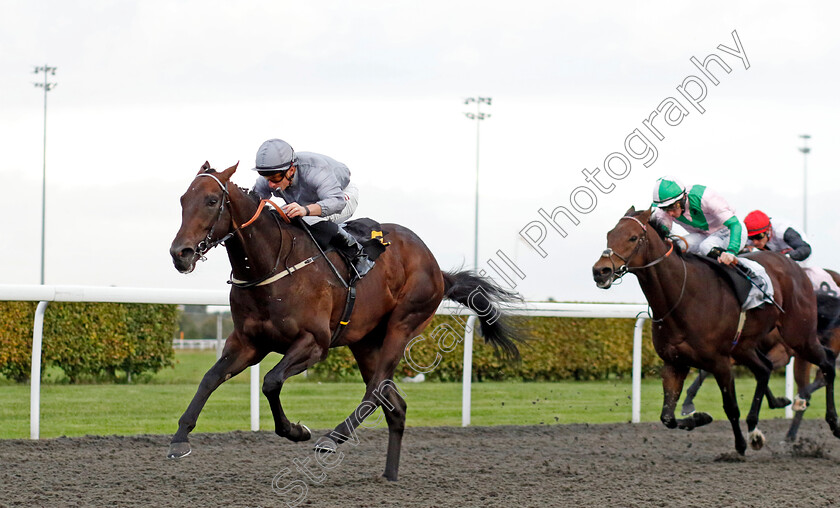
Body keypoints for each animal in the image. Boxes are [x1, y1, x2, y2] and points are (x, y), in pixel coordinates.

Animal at [167, 164, 520, 480]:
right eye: (183, 199)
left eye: (212, 200)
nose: (180, 253)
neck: (271, 265)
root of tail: (437, 270)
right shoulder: (247, 343)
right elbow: (210, 379)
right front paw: (179, 439)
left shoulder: (314, 343)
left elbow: (271, 381)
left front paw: (297, 430)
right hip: (365, 342)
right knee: (395, 405)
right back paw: (389, 475)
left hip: (403, 325)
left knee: (375, 391)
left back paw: (332, 438)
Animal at [592, 208, 840, 454]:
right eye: (609, 235)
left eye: (633, 237)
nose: (600, 271)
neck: (683, 297)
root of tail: (794, 267)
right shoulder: (675, 362)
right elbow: (667, 416)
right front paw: (699, 417)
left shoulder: (720, 361)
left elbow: (730, 407)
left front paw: (739, 445)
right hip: (744, 346)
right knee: (764, 368)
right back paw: (760, 425)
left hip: (799, 336)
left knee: (826, 364)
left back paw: (831, 422)